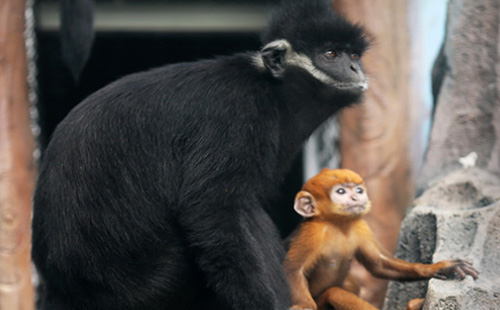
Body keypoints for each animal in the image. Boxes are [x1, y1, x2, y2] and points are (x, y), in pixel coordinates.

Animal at [30, 0, 368, 310]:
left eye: (353, 56)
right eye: (330, 55)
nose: (355, 68)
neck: (271, 89)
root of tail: (64, 289)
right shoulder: (237, 112)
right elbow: (212, 209)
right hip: (149, 280)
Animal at [284, 170, 478, 310]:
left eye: (358, 190)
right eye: (341, 191)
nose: (356, 197)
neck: (337, 225)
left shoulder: (360, 226)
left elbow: (379, 263)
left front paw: (439, 267)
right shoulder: (312, 233)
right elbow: (293, 270)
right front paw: (305, 306)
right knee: (334, 293)